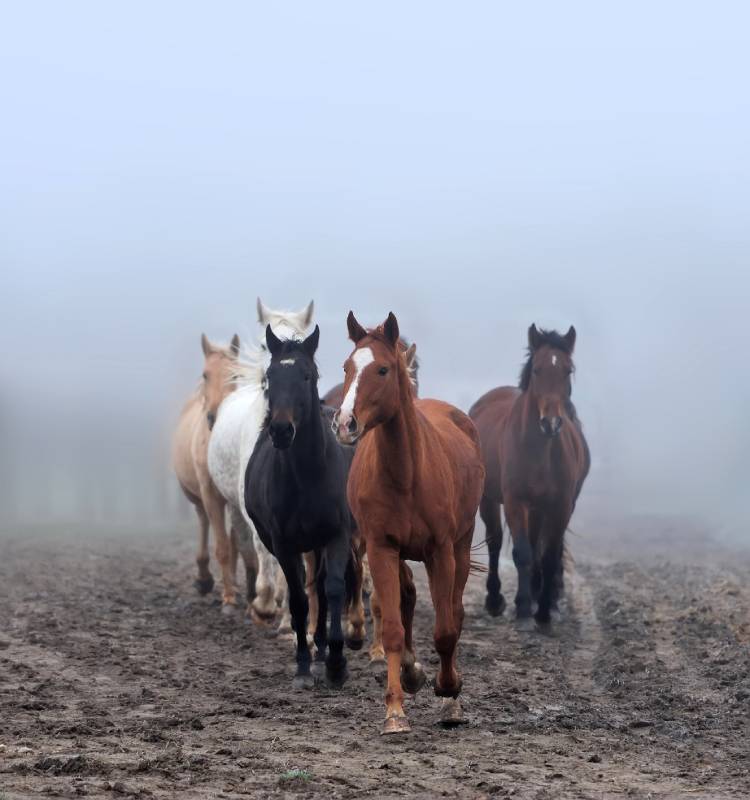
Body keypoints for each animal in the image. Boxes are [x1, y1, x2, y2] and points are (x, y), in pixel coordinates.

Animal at [173, 332, 258, 608]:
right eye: (205, 374)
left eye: (236, 374)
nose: (214, 417)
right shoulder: (209, 493)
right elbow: (221, 545)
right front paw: (228, 596)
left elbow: (234, 543)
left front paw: (236, 589)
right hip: (197, 495)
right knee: (203, 521)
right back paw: (205, 578)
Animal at [206, 300, 314, 620]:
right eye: (268, 345)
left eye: (301, 340)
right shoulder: (254, 508)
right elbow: (264, 549)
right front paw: (265, 601)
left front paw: (288, 618)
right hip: (232, 504)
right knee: (245, 545)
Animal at [244, 324, 356, 688]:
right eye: (270, 375)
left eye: (307, 375)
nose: (281, 430)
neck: (308, 476)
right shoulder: (283, 544)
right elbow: (298, 598)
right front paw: (304, 665)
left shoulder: (337, 535)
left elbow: (333, 590)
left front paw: (336, 663)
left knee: (321, 585)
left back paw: (323, 649)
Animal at [336, 310, 488, 736]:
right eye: (347, 366)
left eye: (383, 369)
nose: (345, 423)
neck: (407, 473)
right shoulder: (382, 547)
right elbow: (392, 626)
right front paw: (395, 710)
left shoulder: (441, 551)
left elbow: (446, 628)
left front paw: (449, 693)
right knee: (406, 597)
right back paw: (410, 670)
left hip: (460, 544)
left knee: (454, 609)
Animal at [470, 324, 592, 632]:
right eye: (537, 369)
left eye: (568, 370)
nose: (551, 423)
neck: (540, 451)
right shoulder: (516, 502)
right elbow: (523, 553)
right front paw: (524, 611)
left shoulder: (561, 505)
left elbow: (547, 555)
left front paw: (546, 612)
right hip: (489, 499)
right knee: (495, 541)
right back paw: (496, 600)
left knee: (541, 546)